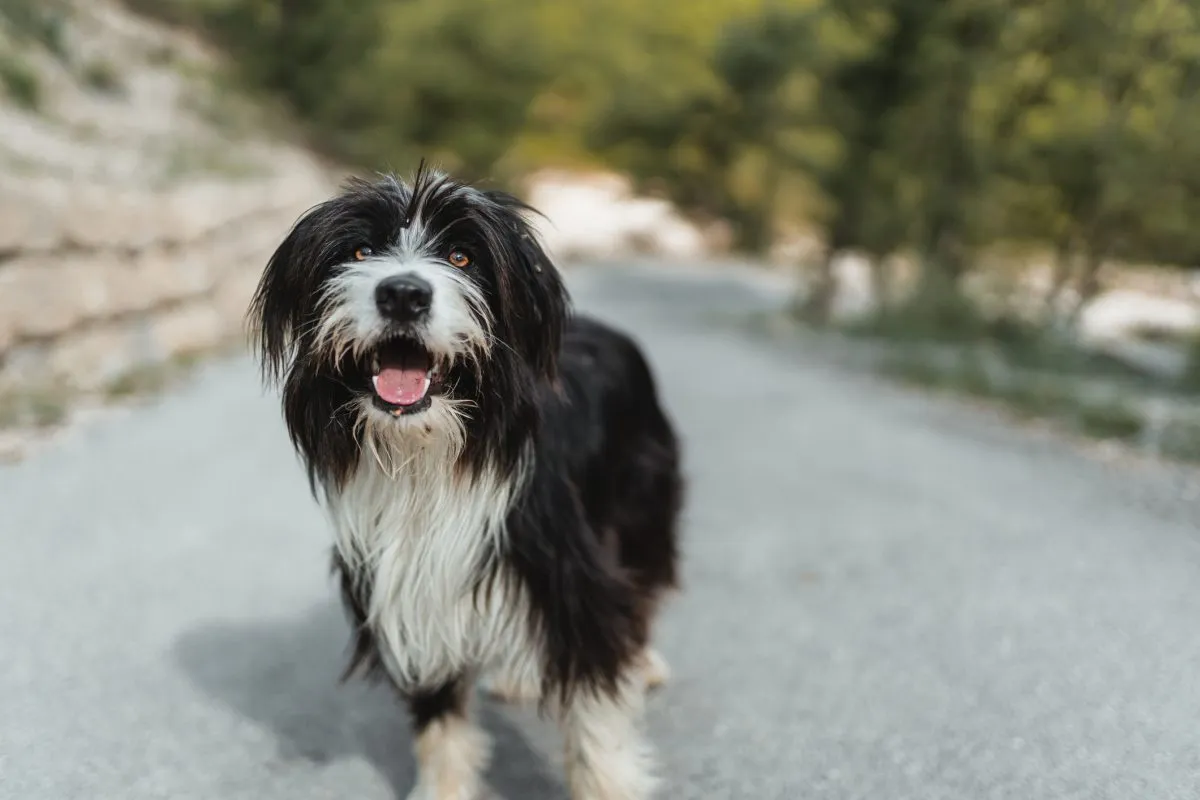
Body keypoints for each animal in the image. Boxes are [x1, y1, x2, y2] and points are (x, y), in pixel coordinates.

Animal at [250, 165, 686, 796]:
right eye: (359, 251)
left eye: (461, 256)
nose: (402, 293)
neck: (431, 457)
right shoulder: (409, 589)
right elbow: (441, 726)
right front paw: (443, 789)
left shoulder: (569, 575)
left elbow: (596, 712)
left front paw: (608, 783)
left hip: (639, 499)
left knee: (643, 584)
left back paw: (643, 660)